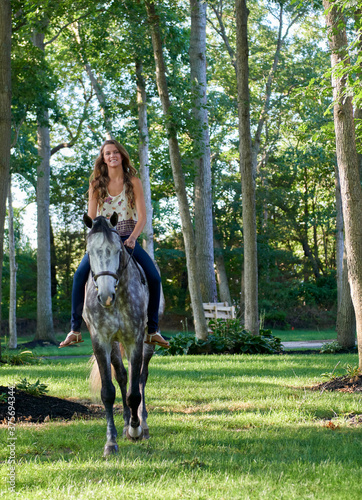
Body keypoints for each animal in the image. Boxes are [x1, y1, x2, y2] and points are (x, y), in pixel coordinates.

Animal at [82, 213, 155, 456]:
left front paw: (136, 430)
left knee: (141, 377)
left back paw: (142, 424)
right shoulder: (101, 341)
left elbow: (134, 393)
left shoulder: (135, 340)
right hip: (114, 344)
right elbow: (108, 391)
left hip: (148, 342)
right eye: (89, 252)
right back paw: (125, 423)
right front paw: (111, 442)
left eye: (117, 250)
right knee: (122, 375)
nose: (105, 296)